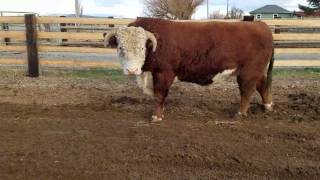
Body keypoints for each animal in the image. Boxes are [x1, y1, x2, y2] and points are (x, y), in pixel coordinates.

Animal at [104, 17, 274, 122]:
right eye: (120, 47)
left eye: (141, 48)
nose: (132, 70)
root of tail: (260, 24)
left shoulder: (163, 73)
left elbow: (159, 95)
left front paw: (156, 116)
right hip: (257, 71)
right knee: (262, 86)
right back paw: (268, 107)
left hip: (249, 71)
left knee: (247, 90)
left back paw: (240, 113)